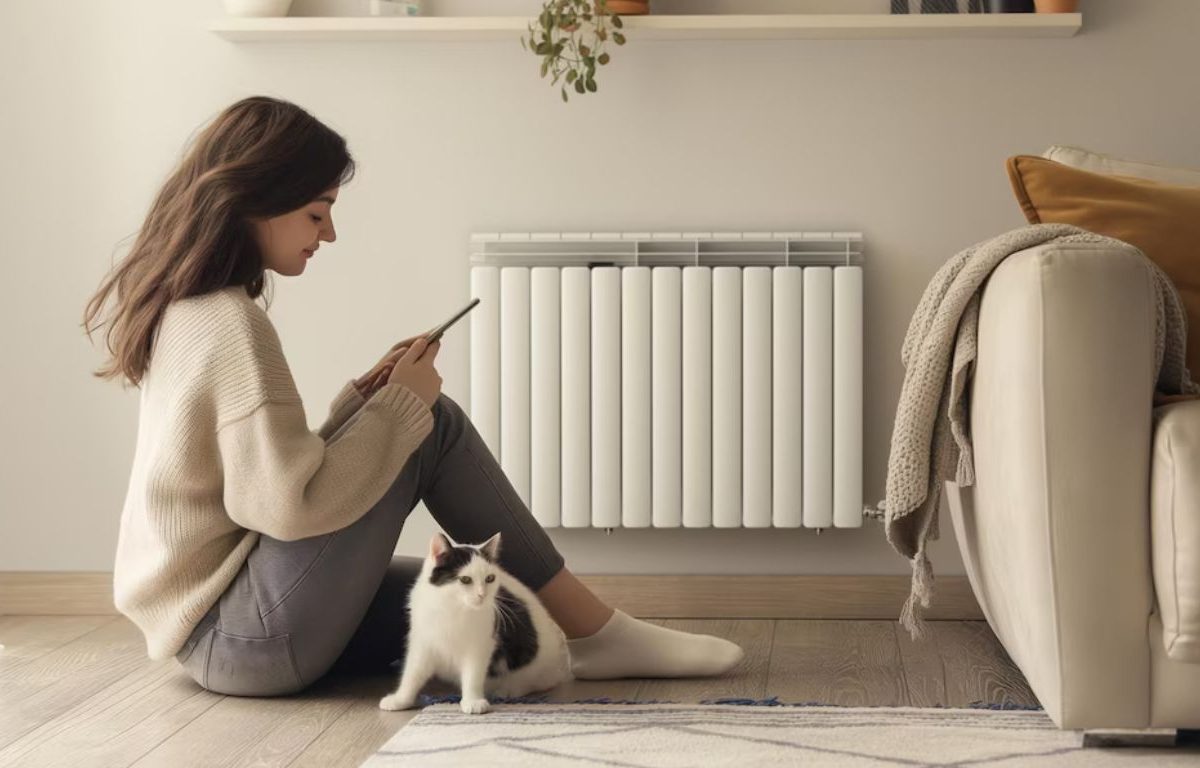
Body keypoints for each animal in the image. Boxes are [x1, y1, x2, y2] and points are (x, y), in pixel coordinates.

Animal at [381, 528, 573, 715]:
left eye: (490, 578)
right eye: (465, 579)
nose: (482, 594)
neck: (453, 608)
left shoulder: (481, 644)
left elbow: (473, 673)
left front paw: (473, 701)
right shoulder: (423, 641)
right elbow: (413, 672)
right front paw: (400, 699)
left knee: (534, 681)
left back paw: (508, 690)